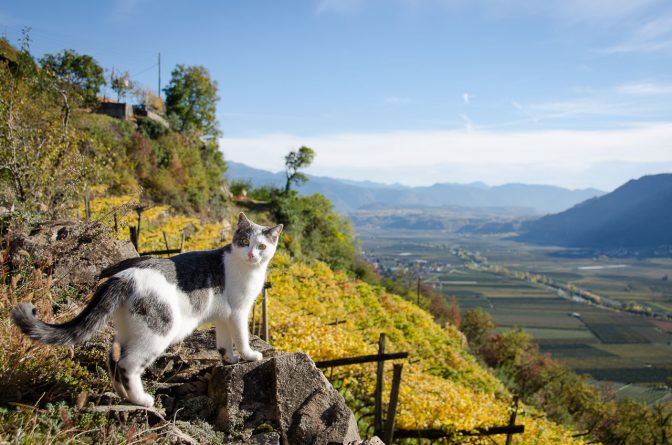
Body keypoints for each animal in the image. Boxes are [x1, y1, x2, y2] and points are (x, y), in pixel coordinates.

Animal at [11, 212, 282, 406]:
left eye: (261, 246)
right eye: (245, 242)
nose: (251, 254)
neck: (248, 270)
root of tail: (123, 276)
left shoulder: (223, 316)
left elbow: (224, 342)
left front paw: (230, 359)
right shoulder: (238, 311)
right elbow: (242, 337)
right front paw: (249, 356)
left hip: (130, 328)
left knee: (112, 356)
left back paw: (123, 395)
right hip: (158, 330)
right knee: (127, 364)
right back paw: (141, 400)